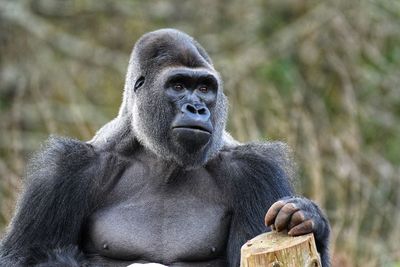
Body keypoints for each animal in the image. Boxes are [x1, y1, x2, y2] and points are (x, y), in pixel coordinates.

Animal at [0, 29, 330, 267]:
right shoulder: (64, 170)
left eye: (205, 88)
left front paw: (308, 218)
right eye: (179, 85)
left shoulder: (255, 170)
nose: (197, 108)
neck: (161, 159)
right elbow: (20, 256)